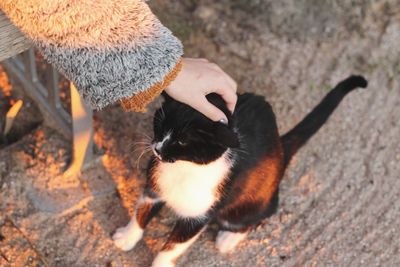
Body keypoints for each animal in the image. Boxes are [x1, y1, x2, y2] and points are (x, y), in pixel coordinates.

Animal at [111, 75, 368, 267]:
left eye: (183, 141)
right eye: (160, 124)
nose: (157, 148)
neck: (183, 169)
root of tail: (279, 147)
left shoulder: (200, 214)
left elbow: (173, 247)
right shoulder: (154, 186)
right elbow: (141, 211)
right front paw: (127, 237)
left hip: (249, 200)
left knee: (262, 213)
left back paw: (229, 237)